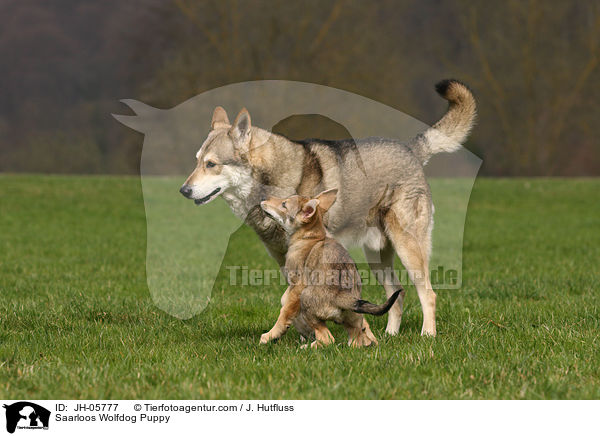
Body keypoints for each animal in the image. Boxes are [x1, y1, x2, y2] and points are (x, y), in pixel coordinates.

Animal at [260, 188, 400, 348]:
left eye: (284, 204)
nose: (263, 197)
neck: (311, 237)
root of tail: (344, 297)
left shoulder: (298, 285)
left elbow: (285, 310)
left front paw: (270, 335)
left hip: (306, 299)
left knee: (327, 340)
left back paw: (306, 347)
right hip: (353, 320)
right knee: (355, 340)